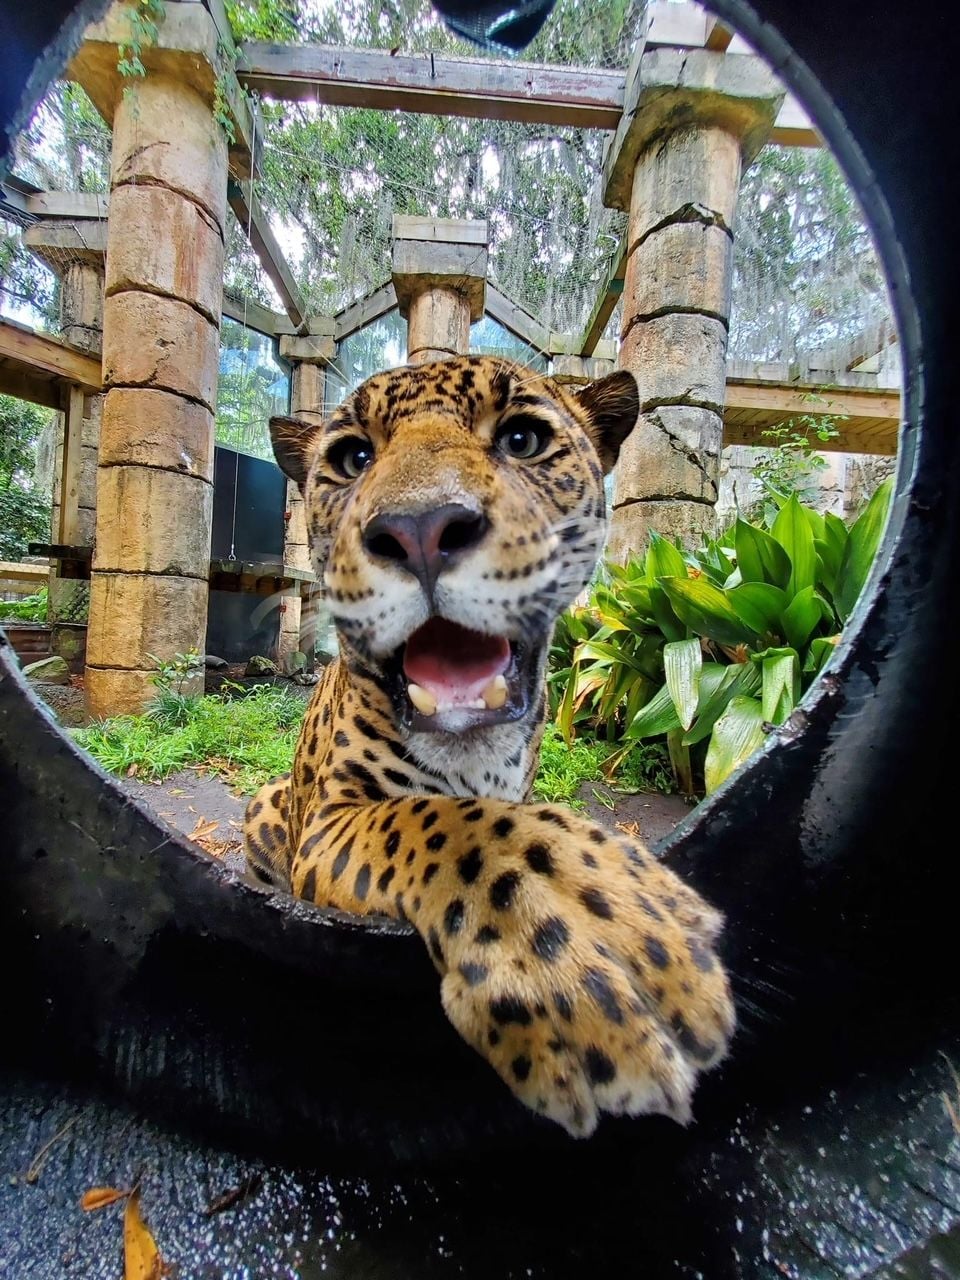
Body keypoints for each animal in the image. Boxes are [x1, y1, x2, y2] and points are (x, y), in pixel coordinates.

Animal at [244, 354, 734, 1138]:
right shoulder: (330, 821)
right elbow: (447, 823)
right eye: (353, 458)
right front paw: (584, 927)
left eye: (522, 439)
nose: (418, 529)